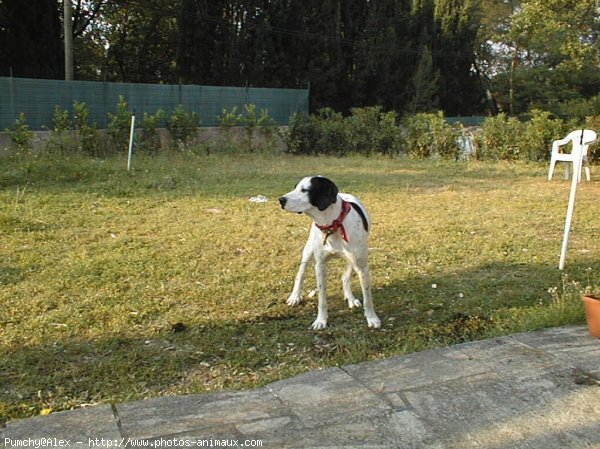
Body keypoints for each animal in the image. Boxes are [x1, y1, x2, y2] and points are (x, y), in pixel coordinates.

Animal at [280, 176, 382, 328]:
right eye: (295, 188)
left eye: (305, 190)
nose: (280, 200)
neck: (333, 225)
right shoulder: (320, 266)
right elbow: (322, 298)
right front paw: (321, 320)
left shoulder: (362, 267)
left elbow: (367, 298)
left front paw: (372, 318)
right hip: (308, 251)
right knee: (300, 273)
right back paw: (295, 296)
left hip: (352, 261)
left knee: (345, 277)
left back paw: (350, 298)